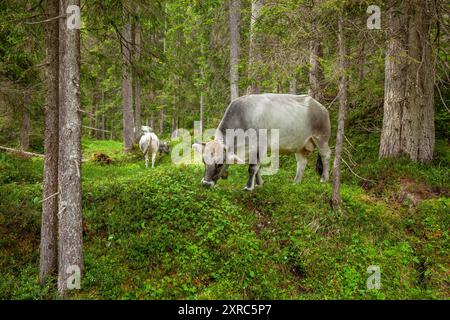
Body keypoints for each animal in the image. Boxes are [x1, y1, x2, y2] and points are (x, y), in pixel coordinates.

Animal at [192, 94, 330, 191]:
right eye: (204, 161)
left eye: (220, 164)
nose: (205, 184)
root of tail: (321, 107)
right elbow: (257, 168)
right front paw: (259, 184)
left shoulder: (260, 146)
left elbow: (252, 168)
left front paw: (249, 187)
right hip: (300, 144)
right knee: (302, 162)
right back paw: (296, 183)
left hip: (321, 138)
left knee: (325, 156)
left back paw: (324, 179)